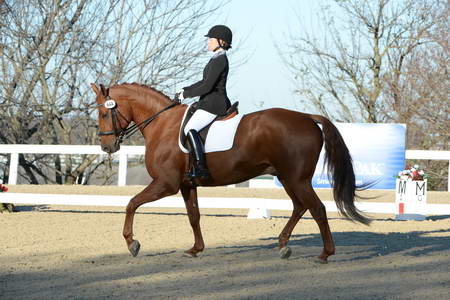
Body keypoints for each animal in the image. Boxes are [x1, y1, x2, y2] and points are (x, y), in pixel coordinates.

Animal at [90, 82, 370, 262]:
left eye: (104, 113)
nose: (107, 147)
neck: (162, 123)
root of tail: (307, 117)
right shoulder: (186, 185)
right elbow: (194, 216)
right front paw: (195, 249)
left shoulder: (165, 184)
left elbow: (131, 203)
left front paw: (132, 243)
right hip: (287, 177)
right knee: (300, 207)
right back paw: (283, 246)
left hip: (296, 178)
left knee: (317, 209)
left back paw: (324, 254)